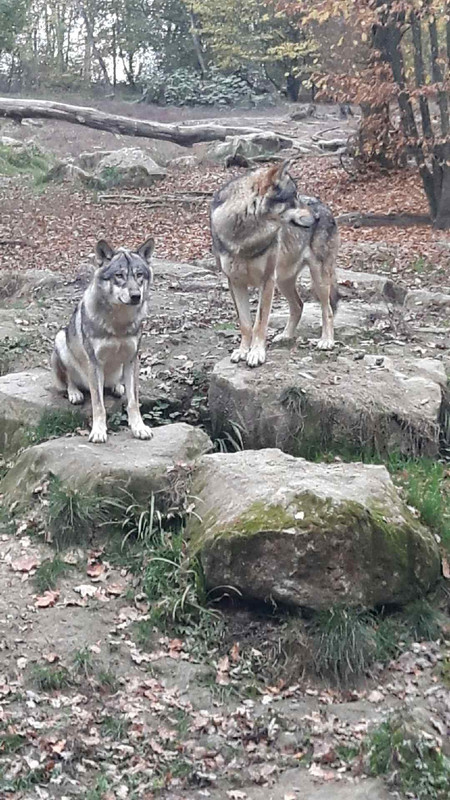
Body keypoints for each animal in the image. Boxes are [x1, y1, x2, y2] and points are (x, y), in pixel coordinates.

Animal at [51, 238, 155, 444]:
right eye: (119, 275)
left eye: (139, 274)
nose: (136, 296)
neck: (118, 324)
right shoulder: (95, 363)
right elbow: (98, 405)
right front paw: (98, 432)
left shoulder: (132, 359)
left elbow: (133, 402)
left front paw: (139, 428)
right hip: (60, 339)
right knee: (68, 381)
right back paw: (75, 393)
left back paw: (117, 387)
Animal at [210, 163, 338, 368]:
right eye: (294, 197)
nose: (317, 217)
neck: (245, 236)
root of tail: (324, 205)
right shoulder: (235, 283)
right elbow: (245, 324)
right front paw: (242, 351)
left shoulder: (267, 280)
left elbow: (260, 323)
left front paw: (256, 353)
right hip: (283, 281)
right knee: (298, 306)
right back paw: (285, 336)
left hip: (318, 279)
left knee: (328, 310)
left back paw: (326, 341)